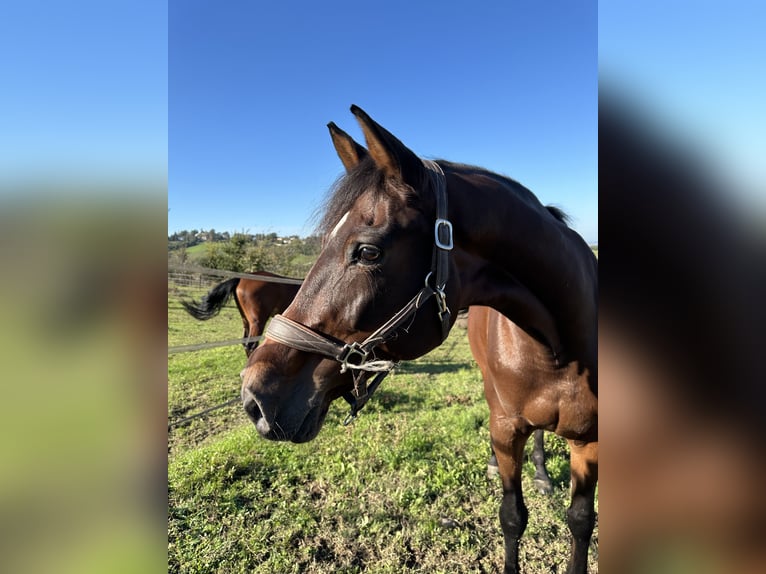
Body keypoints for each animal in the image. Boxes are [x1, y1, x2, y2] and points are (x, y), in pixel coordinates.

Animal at [242, 108, 600, 574]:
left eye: (368, 252)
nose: (256, 396)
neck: (555, 350)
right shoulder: (506, 427)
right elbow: (511, 516)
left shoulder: (590, 442)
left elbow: (580, 521)